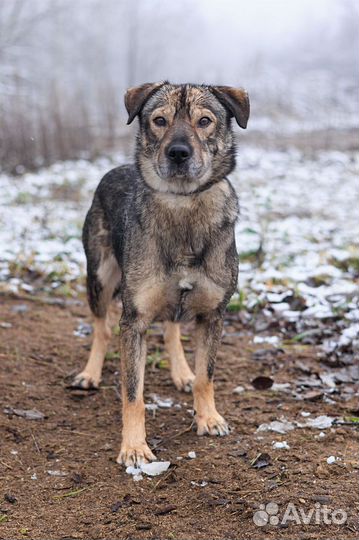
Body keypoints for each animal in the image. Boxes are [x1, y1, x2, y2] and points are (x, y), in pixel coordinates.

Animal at [71, 82, 249, 466]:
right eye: (159, 120)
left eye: (204, 121)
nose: (178, 152)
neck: (183, 205)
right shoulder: (134, 320)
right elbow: (133, 394)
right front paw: (135, 448)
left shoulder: (213, 314)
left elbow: (206, 376)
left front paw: (208, 417)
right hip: (99, 277)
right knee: (101, 328)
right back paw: (90, 374)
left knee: (170, 329)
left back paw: (182, 372)